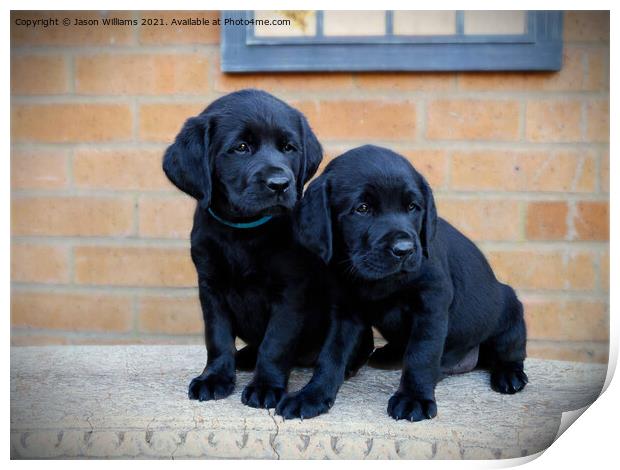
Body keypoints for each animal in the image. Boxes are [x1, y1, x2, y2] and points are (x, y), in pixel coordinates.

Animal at [162, 88, 370, 408]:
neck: (243, 231)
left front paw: (266, 386)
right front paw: (214, 378)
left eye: (289, 148)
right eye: (241, 147)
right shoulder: (210, 286)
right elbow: (217, 337)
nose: (280, 183)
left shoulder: (290, 292)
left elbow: (276, 343)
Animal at [276, 145, 528, 420]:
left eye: (413, 207)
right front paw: (312, 395)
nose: (405, 250)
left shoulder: (432, 303)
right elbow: (330, 355)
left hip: (509, 309)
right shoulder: (345, 311)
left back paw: (509, 375)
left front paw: (414, 398)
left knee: (511, 349)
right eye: (362, 208)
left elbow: (421, 355)